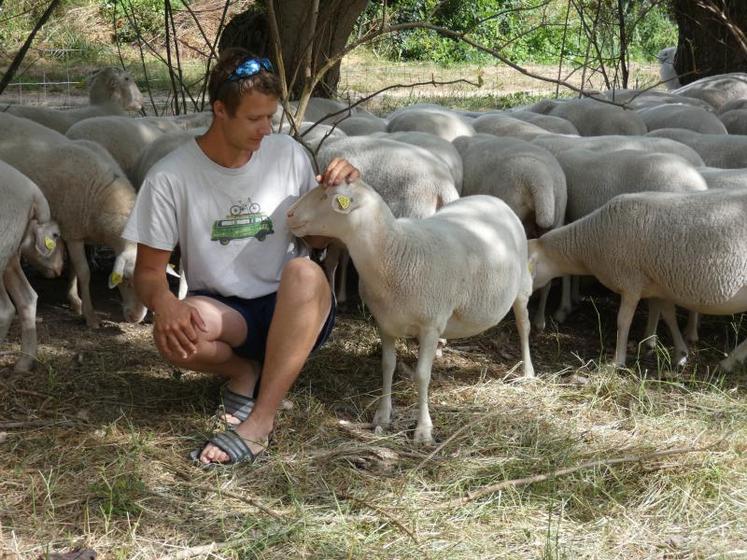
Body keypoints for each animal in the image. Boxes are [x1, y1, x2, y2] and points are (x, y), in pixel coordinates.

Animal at [0, 112, 148, 328]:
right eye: (126, 280)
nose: (135, 318)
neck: (103, 191)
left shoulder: (78, 232)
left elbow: (74, 270)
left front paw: (74, 301)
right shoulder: (73, 233)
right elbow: (84, 273)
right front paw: (90, 316)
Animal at [0, 161, 62, 372]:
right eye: (55, 237)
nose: (59, 268)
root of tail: (34, 191)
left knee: (6, 309)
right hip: (10, 251)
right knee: (26, 298)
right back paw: (24, 362)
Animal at [288, 179, 536, 442]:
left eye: (327, 195)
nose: (289, 214)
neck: (394, 253)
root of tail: (492, 198)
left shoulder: (430, 325)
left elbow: (422, 375)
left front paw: (423, 429)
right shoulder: (385, 322)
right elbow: (388, 365)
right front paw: (383, 415)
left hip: (522, 284)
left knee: (523, 325)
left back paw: (527, 371)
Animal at [528, 189, 747, 372]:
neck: (591, 242)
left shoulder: (630, 283)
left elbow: (623, 321)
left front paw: (617, 361)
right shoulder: (656, 284)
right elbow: (668, 316)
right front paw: (681, 354)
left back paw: (729, 362)